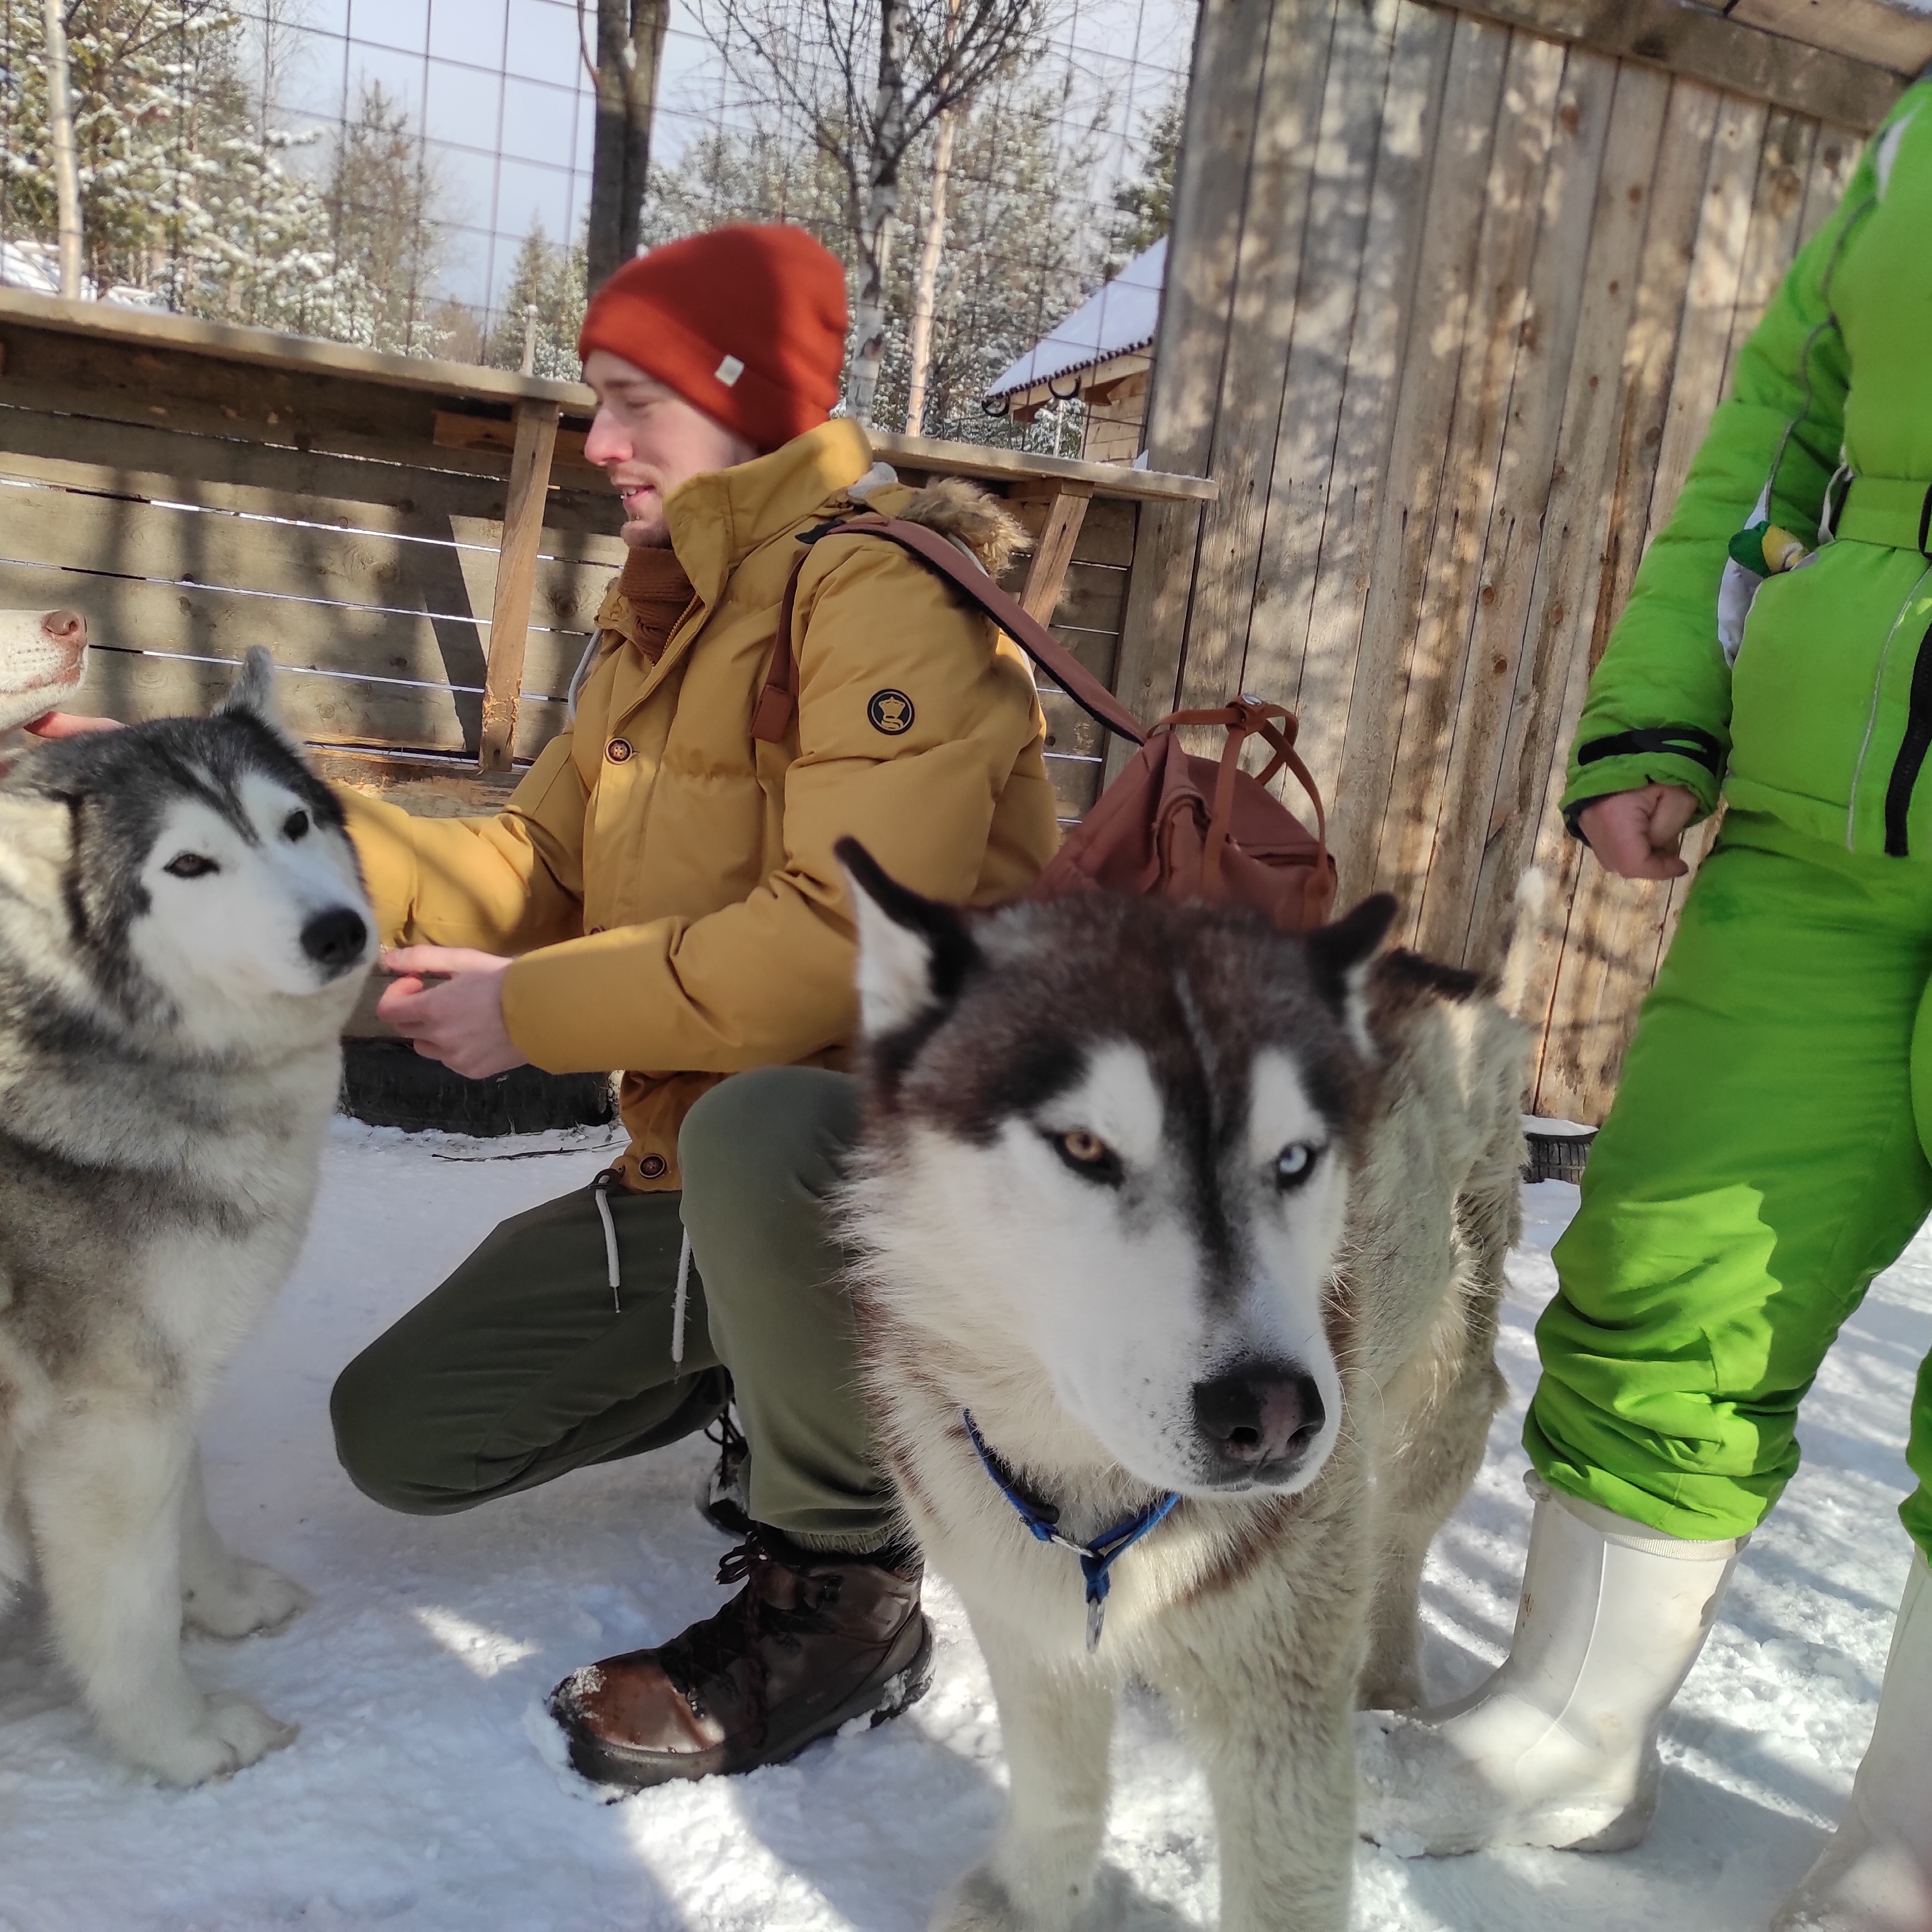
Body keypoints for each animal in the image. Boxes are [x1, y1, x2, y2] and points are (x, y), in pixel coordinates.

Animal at [0, 649, 371, 1777]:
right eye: (191, 867)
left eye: (294, 824)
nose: (339, 931)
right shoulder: (112, 1415)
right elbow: (128, 1609)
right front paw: (181, 1737)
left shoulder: (166, 1372)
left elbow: (186, 1518)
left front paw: (226, 1600)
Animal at [838, 842, 1530, 1932]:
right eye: (1085, 1147)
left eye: (1294, 1158)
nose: (1277, 1417)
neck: (1094, 1506)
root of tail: (1435, 968)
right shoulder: (1022, 1616)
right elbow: (1059, 1788)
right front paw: (1035, 1903)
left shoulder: (1279, 1702)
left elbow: (1284, 1885)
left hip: (1433, 1401)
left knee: (1399, 1547)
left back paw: (1390, 1690)